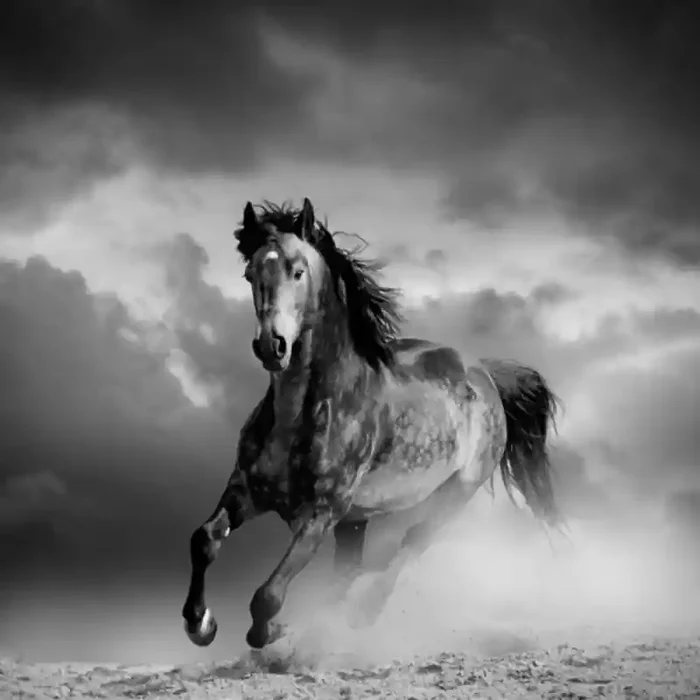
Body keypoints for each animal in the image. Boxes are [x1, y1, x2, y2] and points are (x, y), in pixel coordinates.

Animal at [181, 197, 561, 650]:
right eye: (250, 273)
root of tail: (485, 373)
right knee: (348, 573)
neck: (300, 415)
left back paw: (361, 615)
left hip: (453, 495)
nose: (272, 346)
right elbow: (204, 539)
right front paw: (200, 624)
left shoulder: (322, 512)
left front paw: (269, 631)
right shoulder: (246, 491)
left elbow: (268, 594)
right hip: (356, 521)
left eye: (298, 271)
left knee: (410, 544)